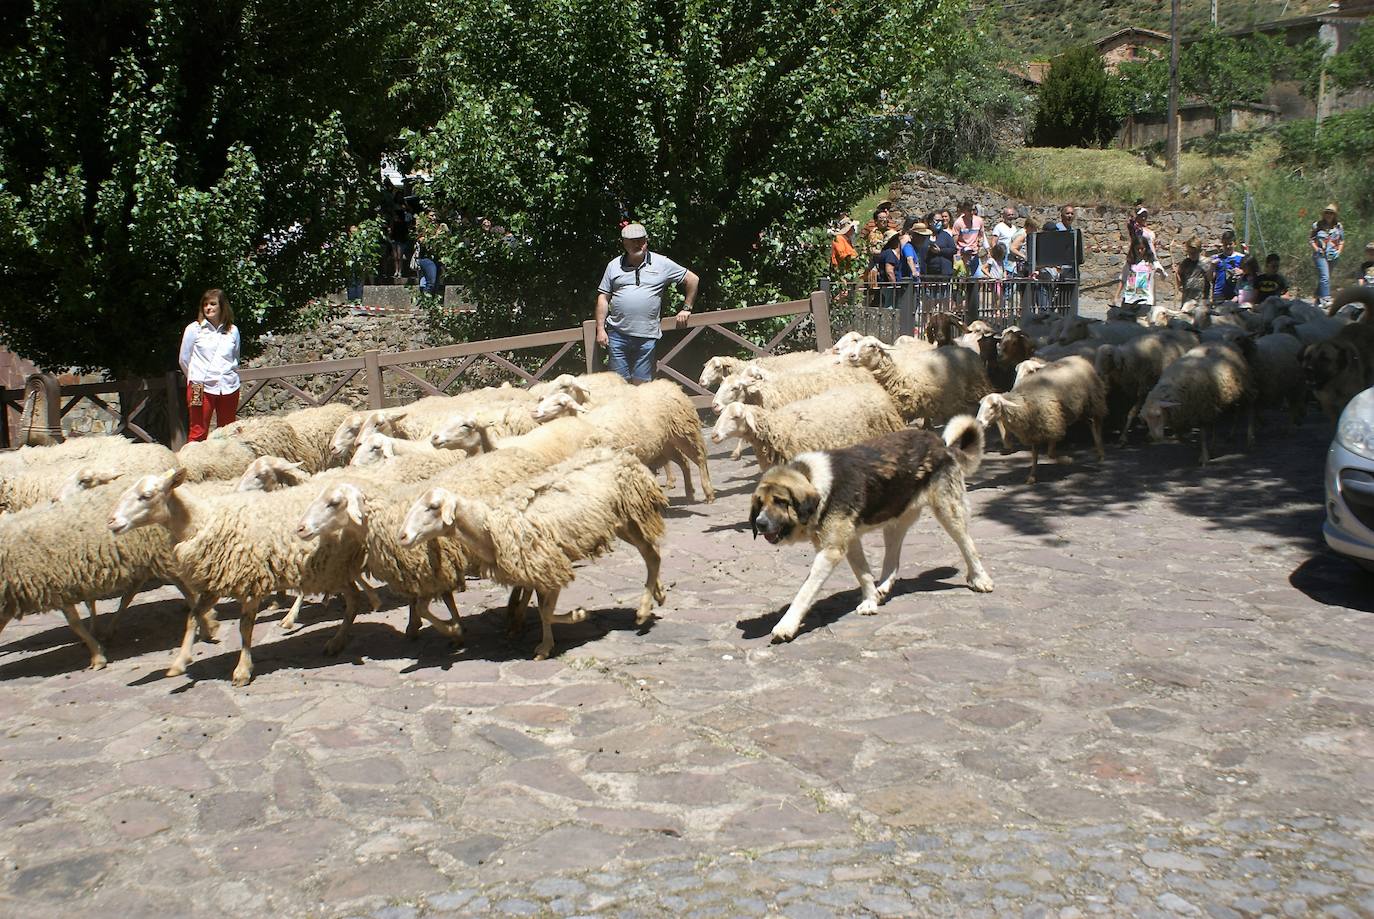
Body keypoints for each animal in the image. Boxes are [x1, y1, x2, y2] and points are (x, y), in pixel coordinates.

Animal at [398, 445, 670, 659]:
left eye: (433, 507)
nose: (402, 537)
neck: (489, 526)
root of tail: (622, 454)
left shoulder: (551, 565)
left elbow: (546, 612)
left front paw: (572, 620)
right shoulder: (538, 571)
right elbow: (541, 609)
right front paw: (547, 641)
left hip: (632, 514)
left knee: (652, 555)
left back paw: (643, 611)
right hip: (624, 522)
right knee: (652, 552)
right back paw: (658, 594)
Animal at [747, 417, 994, 642]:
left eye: (781, 501)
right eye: (760, 503)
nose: (760, 523)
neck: (813, 481)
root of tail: (941, 444)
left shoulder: (830, 552)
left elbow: (805, 591)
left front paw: (786, 625)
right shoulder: (850, 541)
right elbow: (863, 573)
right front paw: (870, 600)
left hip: (948, 512)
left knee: (968, 545)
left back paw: (980, 579)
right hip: (894, 523)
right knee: (892, 560)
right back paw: (882, 587)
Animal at [972, 351, 1110, 483]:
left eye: (994, 405)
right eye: (981, 404)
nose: (979, 422)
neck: (1024, 401)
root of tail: (1079, 358)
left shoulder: (1053, 423)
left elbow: (1050, 454)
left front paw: (1067, 460)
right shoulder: (1034, 431)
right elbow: (1034, 456)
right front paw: (1032, 476)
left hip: (1094, 401)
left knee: (1097, 423)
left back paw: (1101, 454)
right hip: (1080, 409)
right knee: (1090, 423)